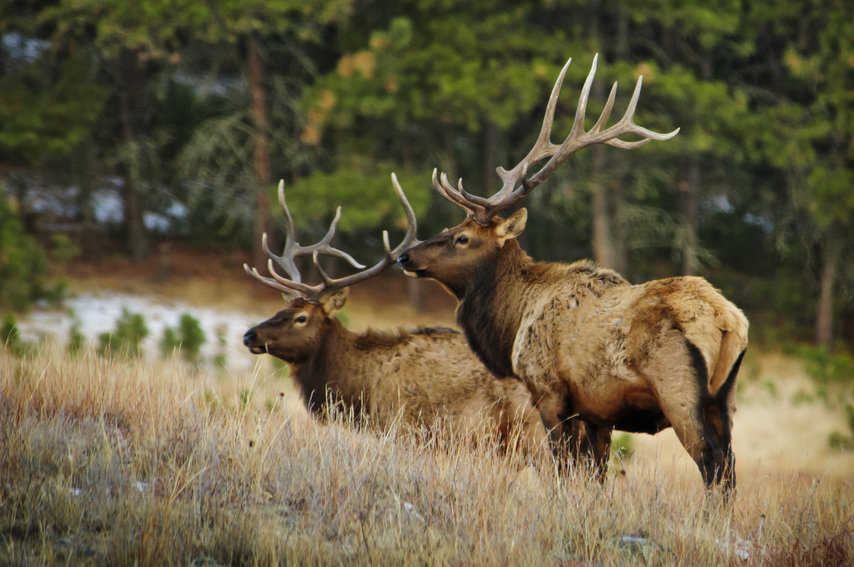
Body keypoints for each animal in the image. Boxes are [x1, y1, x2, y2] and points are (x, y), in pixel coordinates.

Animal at [241, 180, 552, 460]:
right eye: (280, 310)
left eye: (301, 318)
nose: (249, 335)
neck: (361, 390)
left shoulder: (402, 427)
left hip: (534, 438)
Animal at [396, 55, 748, 490]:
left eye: (461, 238)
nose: (405, 256)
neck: (513, 321)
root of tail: (728, 320)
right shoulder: (597, 410)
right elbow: (594, 474)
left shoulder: (549, 392)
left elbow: (563, 466)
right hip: (725, 397)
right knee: (730, 466)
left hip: (680, 389)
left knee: (711, 462)